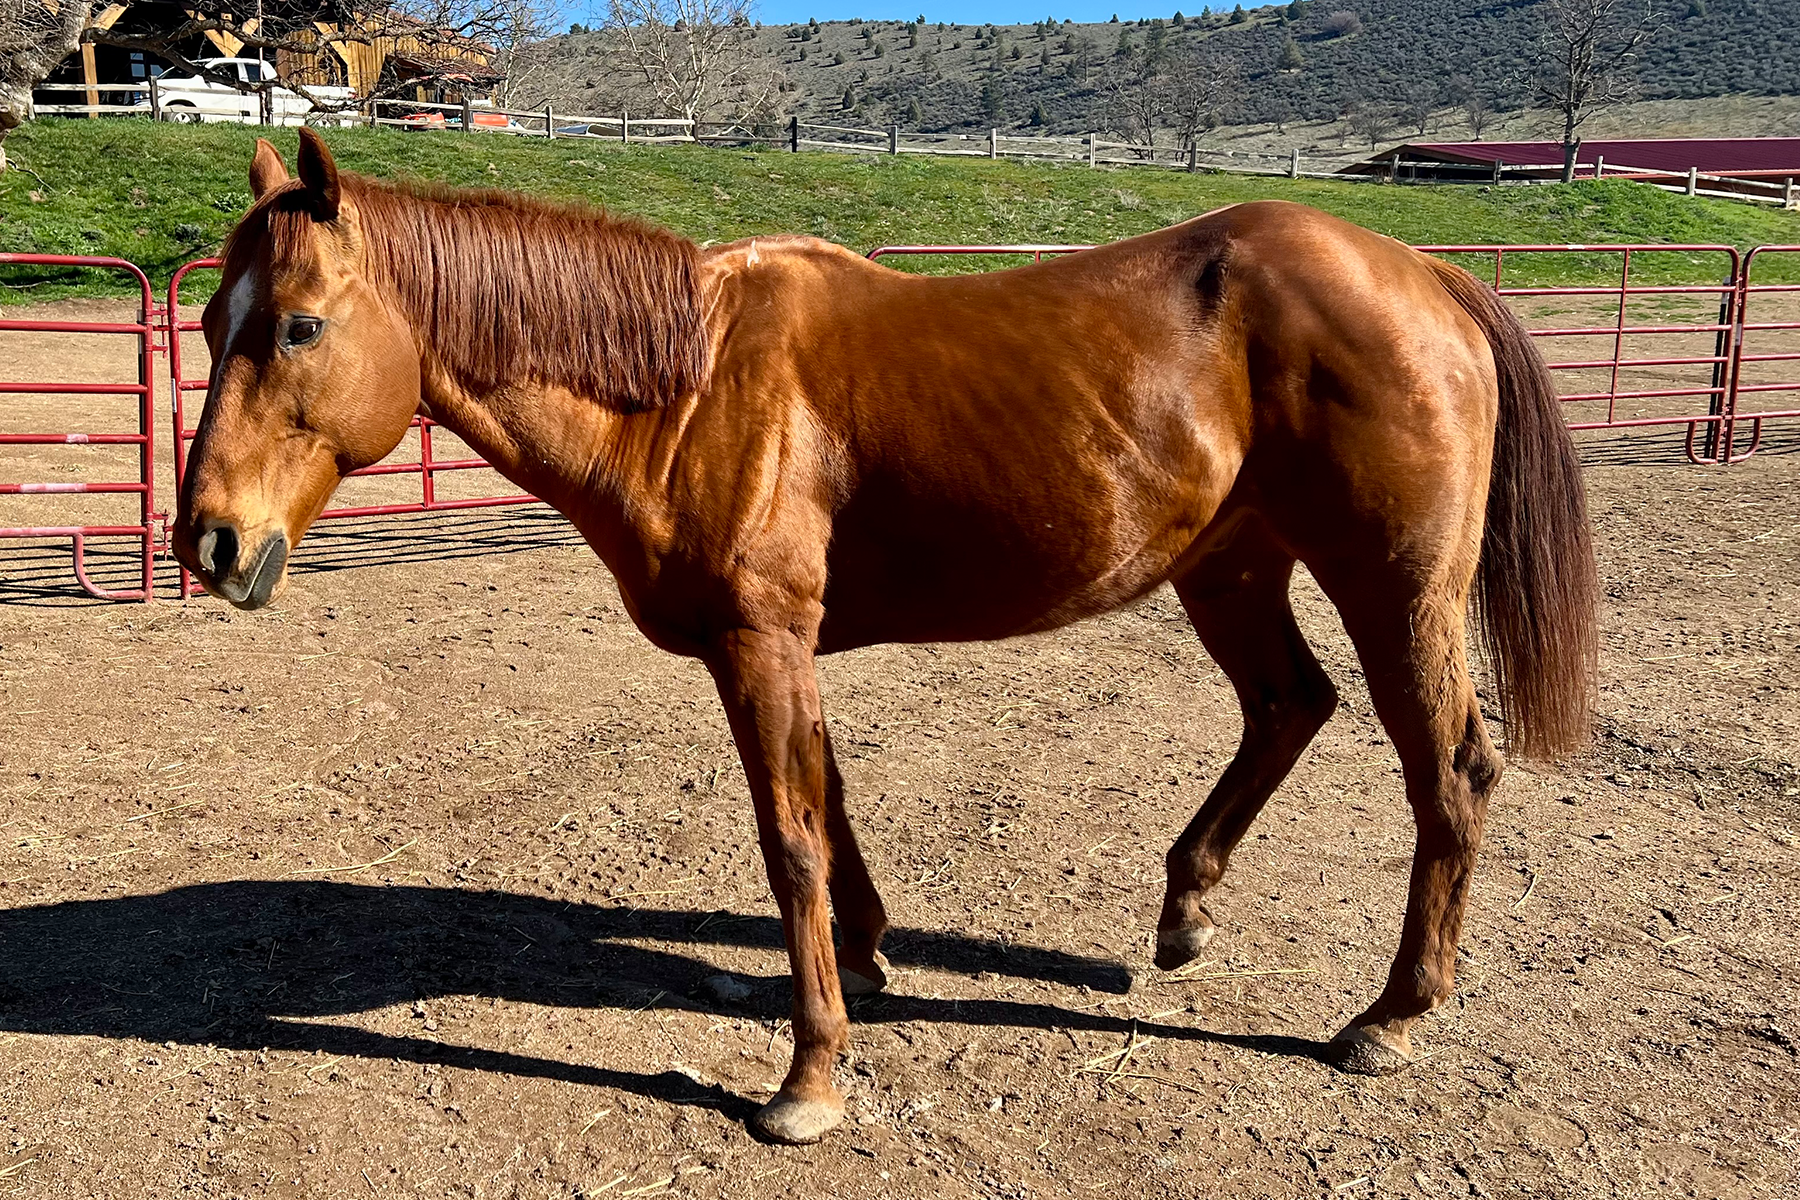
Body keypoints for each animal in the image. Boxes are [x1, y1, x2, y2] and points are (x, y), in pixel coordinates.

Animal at [172, 129, 1596, 1145]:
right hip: (1233, 568)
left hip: (1393, 590)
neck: (690, 389)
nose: (211, 545)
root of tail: (1426, 274)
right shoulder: (787, 651)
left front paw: (808, 1078)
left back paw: (1391, 1017)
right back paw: (1185, 912)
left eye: (297, 323)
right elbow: (833, 806)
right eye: (205, 321)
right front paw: (863, 965)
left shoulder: (759, 643)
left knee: (1449, 772)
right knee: (1291, 705)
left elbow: (790, 840)